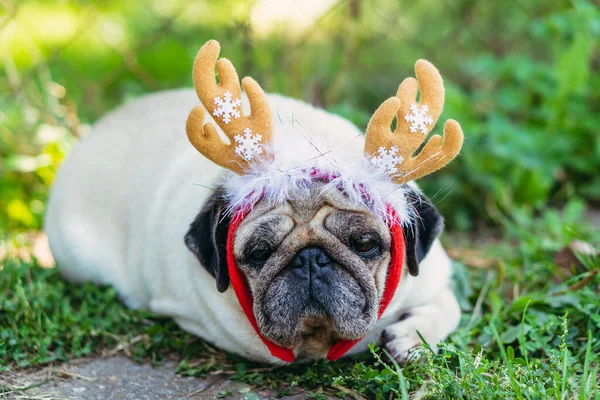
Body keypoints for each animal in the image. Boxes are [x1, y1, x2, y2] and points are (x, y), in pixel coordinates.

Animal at [44, 41, 462, 366]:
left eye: (364, 244)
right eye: (259, 253)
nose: (310, 259)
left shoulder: (433, 278)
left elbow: (448, 308)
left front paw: (410, 336)